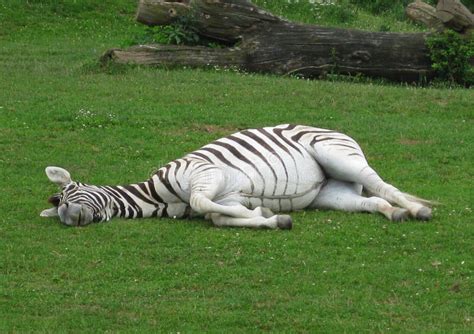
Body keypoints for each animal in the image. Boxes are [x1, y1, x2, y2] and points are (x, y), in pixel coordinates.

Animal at [40, 124, 434, 228]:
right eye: (59, 211)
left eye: (72, 192)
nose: (70, 218)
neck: (161, 195)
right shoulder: (225, 197)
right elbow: (217, 216)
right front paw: (269, 217)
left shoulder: (207, 176)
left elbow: (203, 203)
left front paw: (262, 212)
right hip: (331, 195)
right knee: (372, 200)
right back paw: (396, 213)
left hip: (337, 156)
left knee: (383, 185)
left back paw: (419, 210)